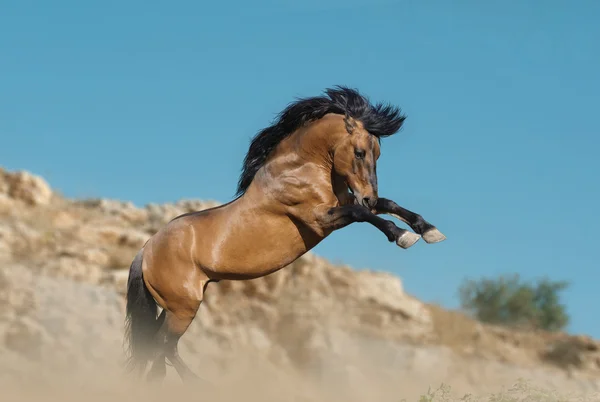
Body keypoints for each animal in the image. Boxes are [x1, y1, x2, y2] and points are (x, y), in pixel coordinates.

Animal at [124, 85, 446, 384]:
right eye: (359, 152)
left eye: (377, 154)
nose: (368, 195)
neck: (301, 168)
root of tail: (146, 250)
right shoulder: (322, 218)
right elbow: (363, 214)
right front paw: (402, 236)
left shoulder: (344, 203)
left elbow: (388, 205)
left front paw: (429, 231)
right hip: (183, 308)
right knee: (164, 345)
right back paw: (198, 384)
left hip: (173, 307)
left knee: (159, 347)